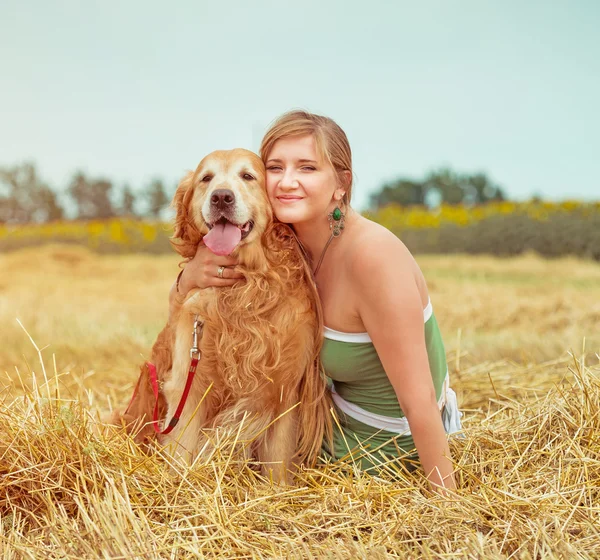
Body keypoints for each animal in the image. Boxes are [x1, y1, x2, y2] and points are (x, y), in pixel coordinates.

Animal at [110, 149, 330, 482]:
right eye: (207, 178)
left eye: (248, 176)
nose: (222, 197)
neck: (244, 288)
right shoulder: (189, 381)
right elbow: (182, 449)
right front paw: (180, 485)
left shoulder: (285, 388)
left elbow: (278, 460)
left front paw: (278, 490)